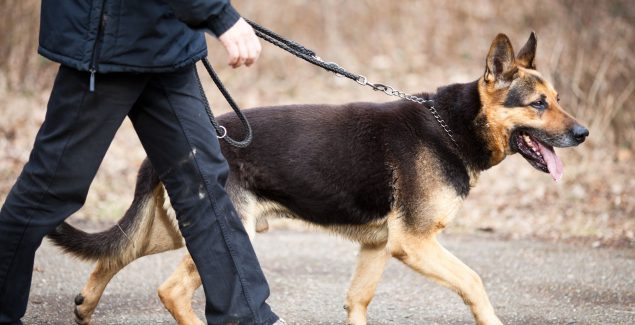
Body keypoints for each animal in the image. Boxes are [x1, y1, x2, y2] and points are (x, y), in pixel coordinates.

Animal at [47, 33, 588, 324]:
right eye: (538, 104)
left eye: (559, 99)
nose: (583, 133)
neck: (452, 125)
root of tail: (179, 151)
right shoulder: (413, 243)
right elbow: (474, 281)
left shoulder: (379, 246)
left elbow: (358, 300)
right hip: (229, 231)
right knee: (171, 290)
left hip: (177, 229)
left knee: (114, 254)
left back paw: (85, 305)